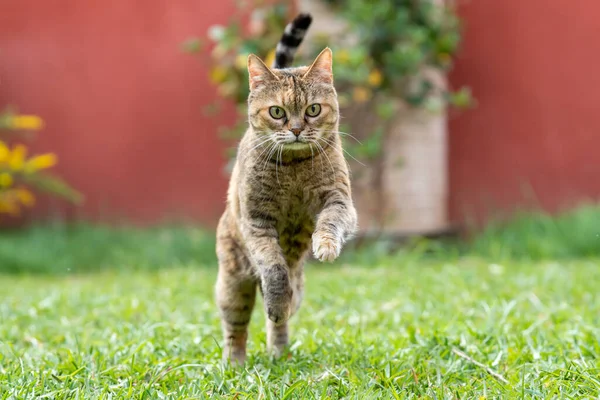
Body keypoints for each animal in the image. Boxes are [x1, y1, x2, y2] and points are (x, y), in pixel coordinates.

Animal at [216, 12, 356, 364]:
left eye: (313, 109)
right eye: (277, 112)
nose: (295, 130)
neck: (293, 168)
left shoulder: (340, 200)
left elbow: (329, 223)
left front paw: (326, 246)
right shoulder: (256, 222)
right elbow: (274, 268)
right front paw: (276, 300)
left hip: (300, 286)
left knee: (280, 322)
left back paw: (279, 352)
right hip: (232, 285)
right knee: (236, 327)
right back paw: (235, 362)